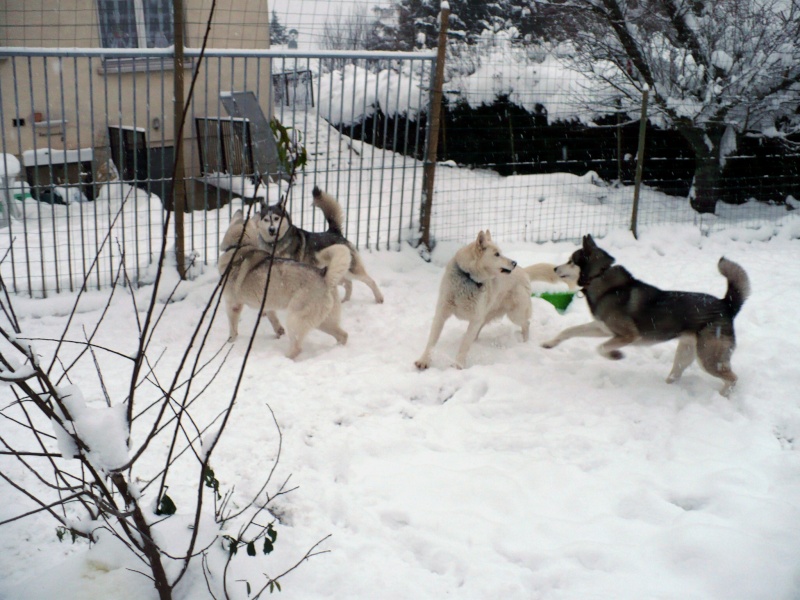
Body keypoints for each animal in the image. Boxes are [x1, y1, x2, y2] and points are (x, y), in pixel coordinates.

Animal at [219, 210, 350, 358]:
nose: (257, 212)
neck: (240, 247)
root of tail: (324, 275)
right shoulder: (266, 303)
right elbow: (273, 318)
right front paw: (278, 331)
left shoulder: (232, 304)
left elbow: (232, 328)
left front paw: (230, 341)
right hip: (324, 321)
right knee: (343, 335)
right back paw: (336, 350)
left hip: (295, 319)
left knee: (297, 348)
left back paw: (285, 358)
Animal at [540, 236, 748, 398]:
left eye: (571, 261)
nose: (555, 268)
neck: (600, 277)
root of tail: (726, 304)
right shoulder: (601, 328)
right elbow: (569, 331)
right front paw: (549, 344)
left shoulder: (627, 335)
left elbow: (600, 348)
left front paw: (615, 355)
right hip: (686, 352)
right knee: (676, 374)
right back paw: (666, 388)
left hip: (708, 358)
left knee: (733, 378)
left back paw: (723, 396)